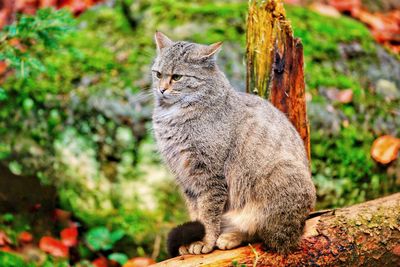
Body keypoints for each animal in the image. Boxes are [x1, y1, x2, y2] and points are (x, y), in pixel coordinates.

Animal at [151, 31, 316, 258]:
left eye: (176, 77)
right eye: (158, 74)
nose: (161, 90)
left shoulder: (210, 176)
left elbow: (208, 214)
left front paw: (205, 241)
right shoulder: (186, 179)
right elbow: (196, 213)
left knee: (262, 233)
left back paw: (231, 237)